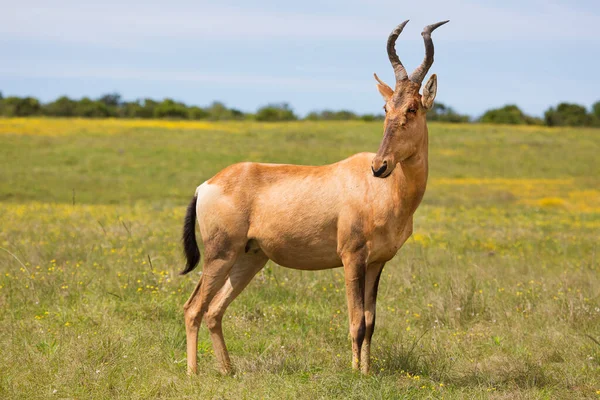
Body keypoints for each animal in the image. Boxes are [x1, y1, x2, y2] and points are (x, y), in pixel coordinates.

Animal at [180, 19, 448, 376]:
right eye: (385, 107)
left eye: (413, 108)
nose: (380, 166)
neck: (383, 191)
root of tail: (206, 185)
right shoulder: (351, 257)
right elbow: (356, 322)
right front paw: (355, 375)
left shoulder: (377, 263)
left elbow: (371, 322)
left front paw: (367, 372)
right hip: (220, 254)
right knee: (193, 307)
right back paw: (193, 374)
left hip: (250, 258)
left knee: (214, 310)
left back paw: (228, 371)